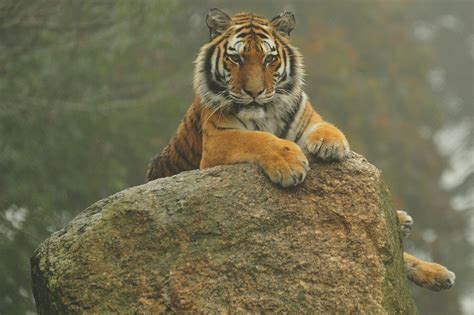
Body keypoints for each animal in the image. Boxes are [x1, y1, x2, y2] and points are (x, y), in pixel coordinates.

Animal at [147, 8, 456, 294]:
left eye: (269, 59)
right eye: (236, 58)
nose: (254, 93)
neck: (266, 113)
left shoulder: (305, 116)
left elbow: (324, 125)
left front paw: (332, 145)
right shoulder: (218, 140)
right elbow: (257, 138)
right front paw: (290, 164)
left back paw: (433, 265)